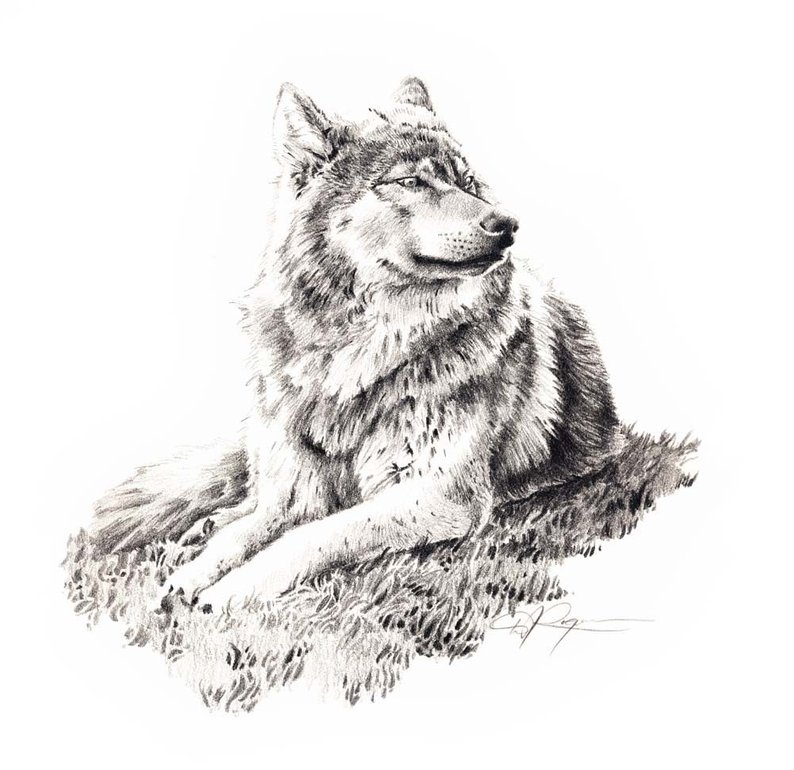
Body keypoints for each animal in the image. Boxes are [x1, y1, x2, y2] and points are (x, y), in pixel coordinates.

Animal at [90, 77, 620, 612]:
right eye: (410, 182)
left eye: (468, 183)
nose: (508, 224)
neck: (354, 355)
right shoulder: (298, 493)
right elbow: (247, 533)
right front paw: (192, 575)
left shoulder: (438, 496)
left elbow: (312, 536)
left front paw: (230, 591)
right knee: (246, 497)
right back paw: (202, 528)